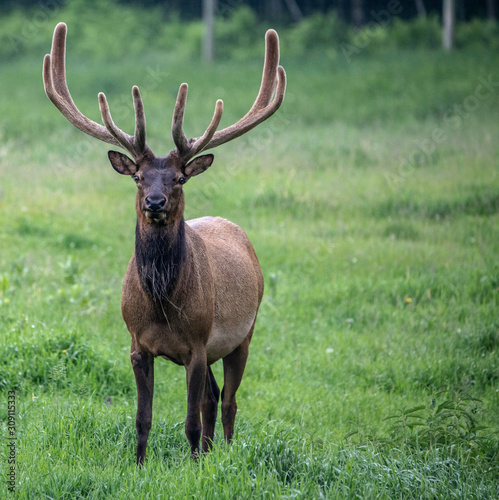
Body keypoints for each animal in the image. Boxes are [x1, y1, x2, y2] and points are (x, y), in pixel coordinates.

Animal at [45, 21, 288, 462]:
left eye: (178, 178)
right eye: (138, 177)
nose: (154, 202)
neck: (162, 305)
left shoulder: (197, 344)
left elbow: (190, 420)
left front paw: (192, 466)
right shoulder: (137, 345)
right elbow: (143, 418)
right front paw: (141, 465)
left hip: (244, 332)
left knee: (228, 400)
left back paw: (224, 454)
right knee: (213, 396)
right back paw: (210, 453)